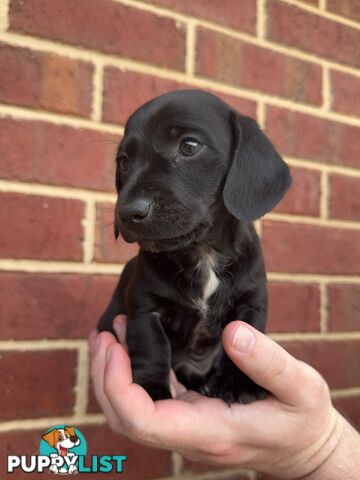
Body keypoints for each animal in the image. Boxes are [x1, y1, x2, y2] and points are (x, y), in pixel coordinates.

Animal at [98, 88, 292, 404]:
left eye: (189, 146)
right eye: (124, 161)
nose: (127, 213)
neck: (203, 253)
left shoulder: (251, 305)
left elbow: (238, 345)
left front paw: (238, 382)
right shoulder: (144, 309)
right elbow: (152, 347)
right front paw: (151, 386)